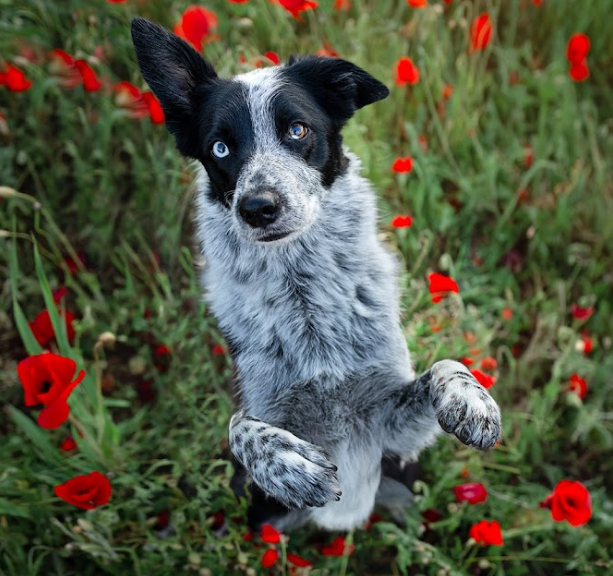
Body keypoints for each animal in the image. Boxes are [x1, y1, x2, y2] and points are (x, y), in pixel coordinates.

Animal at [130, 16, 502, 532]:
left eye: (297, 129)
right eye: (220, 148)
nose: (257, 208)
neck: (302, 295)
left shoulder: (393, 435)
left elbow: (445, 366)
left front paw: (474, 402)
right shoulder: (262, 415)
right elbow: (238, 423)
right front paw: (287, 462)